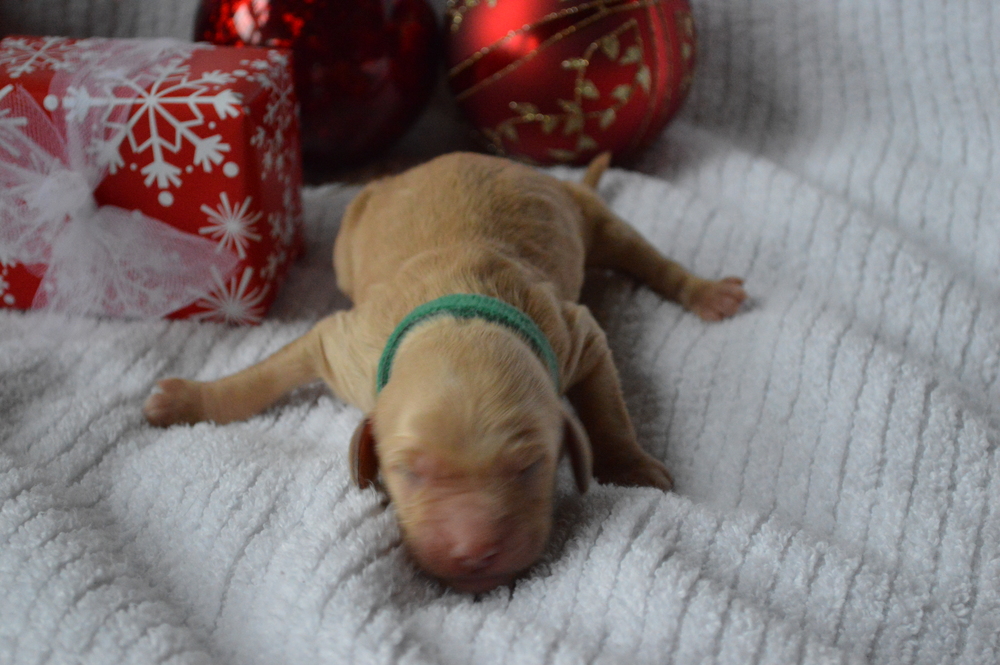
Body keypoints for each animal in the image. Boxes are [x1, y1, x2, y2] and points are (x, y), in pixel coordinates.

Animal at [145, 152, 748, 592]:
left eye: (531, 466)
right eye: (407, 471)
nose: (474, 552)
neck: (461, 314)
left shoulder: (575, 334)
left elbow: (607, 408)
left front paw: (630, 466)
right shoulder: (346, 347)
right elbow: (262, 377)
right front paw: (186, 401)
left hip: (589, 217)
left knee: (646, 256)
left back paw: (706, 292)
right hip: (350, 235)